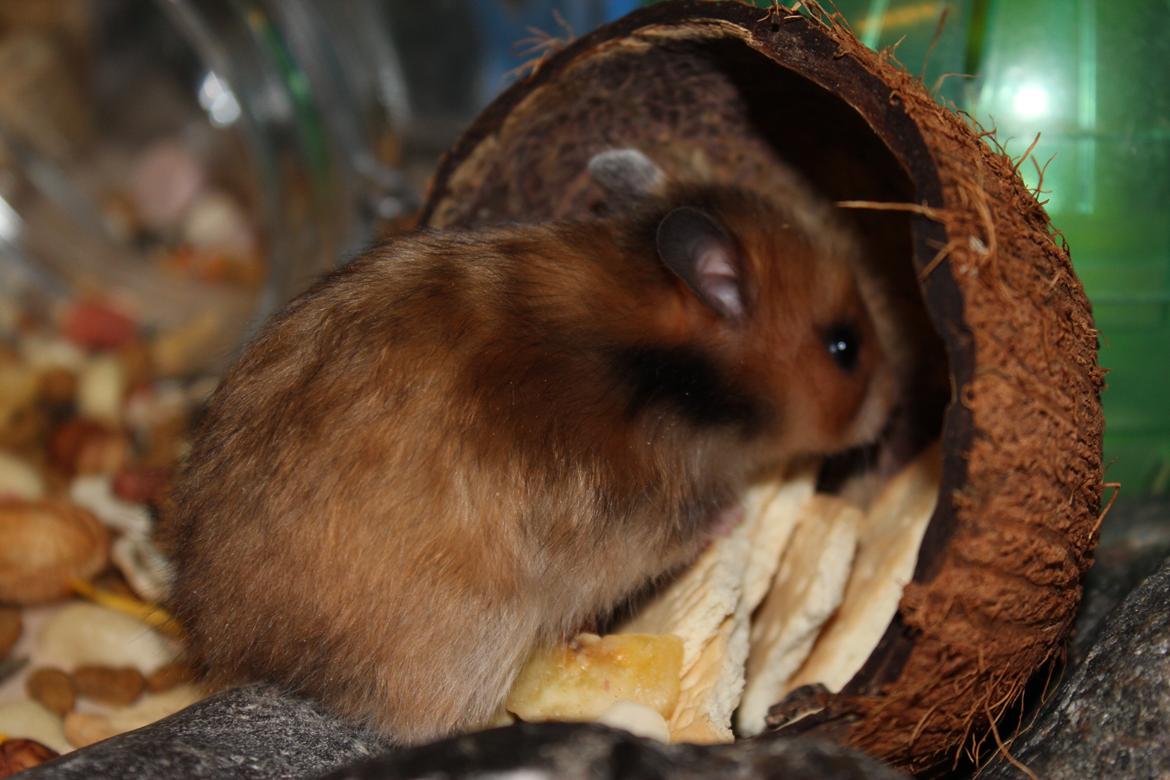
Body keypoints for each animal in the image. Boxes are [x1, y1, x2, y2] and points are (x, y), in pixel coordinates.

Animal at [165, 149, 895, 744]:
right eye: (844, 346)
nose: (890, 415)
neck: (668, 371)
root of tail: (241, 651)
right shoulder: (642, 516)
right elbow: (700, 519)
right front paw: (736, 514)